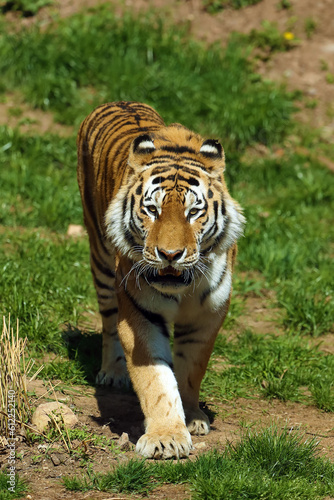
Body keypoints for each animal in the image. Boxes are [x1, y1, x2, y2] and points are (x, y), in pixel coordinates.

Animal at [77, 100, 245, 458]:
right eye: (152, 210)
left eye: (193, 212)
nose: (170, 254)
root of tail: (118, 101)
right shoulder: (140, 314)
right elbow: (156, 381)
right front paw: (166, 437)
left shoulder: (207, 315)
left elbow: (191, 370)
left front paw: (192, 417)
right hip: (100, 258)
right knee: (108, 320)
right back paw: (112, 372)